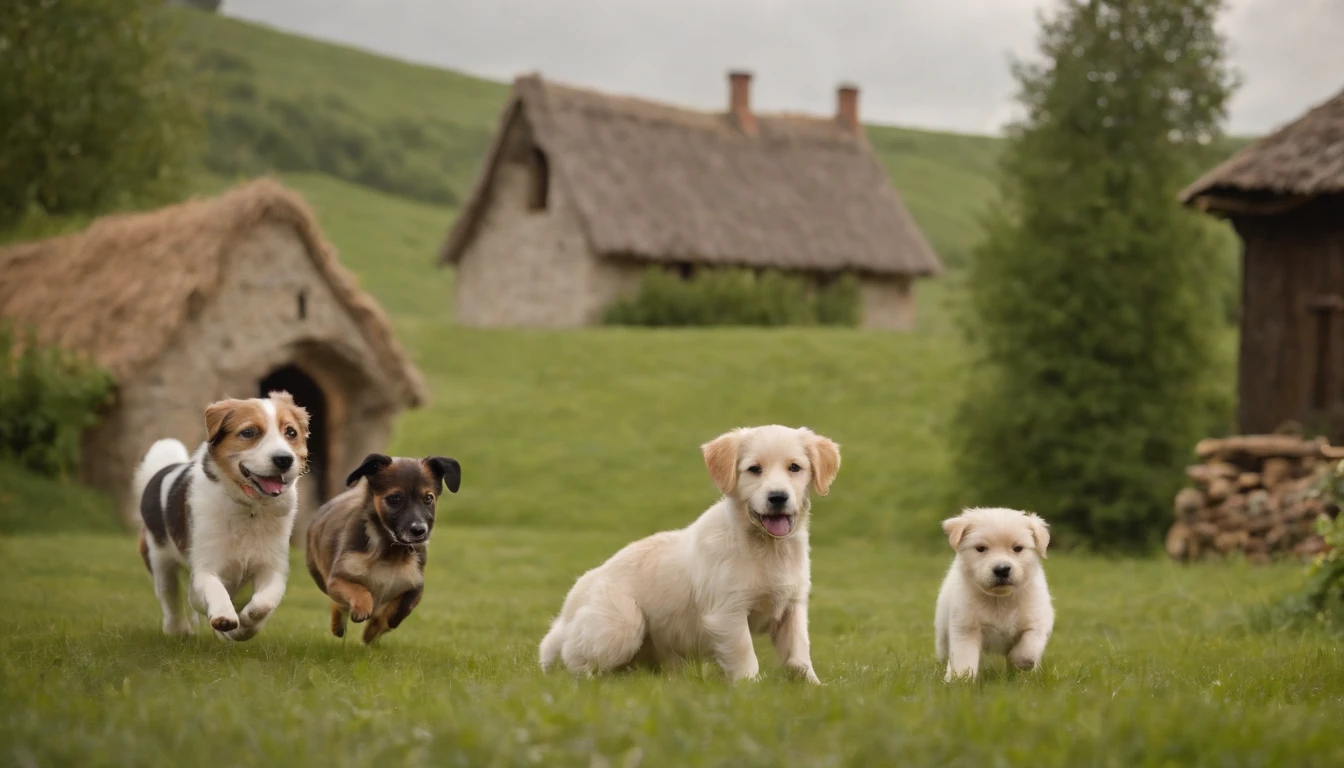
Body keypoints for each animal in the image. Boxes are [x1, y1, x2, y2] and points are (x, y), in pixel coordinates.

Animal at [132, 392, 307, 640]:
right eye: (249, 432)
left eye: (291, 432)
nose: (284, 459)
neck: (250, 507)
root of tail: (165, 470)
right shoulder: (204, 566)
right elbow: (212, 588)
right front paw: (224, 616)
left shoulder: (272, 566)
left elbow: (264, 603)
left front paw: (244, 624)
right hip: (158, 558)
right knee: (170, 598)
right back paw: (178, 629)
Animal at [305, 454, 462, 645]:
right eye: (395, 498)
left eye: (428, 498)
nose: (420, 530)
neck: (390, 551)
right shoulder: (337, 578)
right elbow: (358, 590)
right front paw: (362, 609)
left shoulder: (416, 585)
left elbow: (397, 612)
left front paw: (372, 631)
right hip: (320, 576)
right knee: (339, 604)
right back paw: (338, 626)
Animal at [537, 427, 838, 685]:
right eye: (754, 469)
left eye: (794, 467)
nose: (777, 497)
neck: (767, 548)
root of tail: (567, 612)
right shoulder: (727, 612)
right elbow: (744, 654)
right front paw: (751, 688)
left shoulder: (792, 606)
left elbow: (799, 654)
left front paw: (814, 686)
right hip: (622, 623)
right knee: (573, 658)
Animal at [935, 508, 1048, 683]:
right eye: (981, 548)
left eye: (1018, 548)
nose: (1002, 569)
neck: (999, 599)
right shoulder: (965, 626)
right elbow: (963, 657)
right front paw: (962, 680)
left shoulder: (1037, 621)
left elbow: (1027, 649)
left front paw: (1019, 663)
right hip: (942, 630)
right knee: (946, 654)